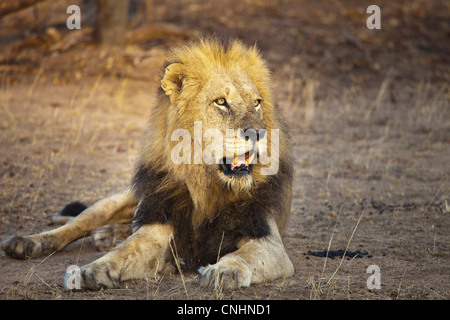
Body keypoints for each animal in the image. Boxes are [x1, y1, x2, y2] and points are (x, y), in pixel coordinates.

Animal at [2, 37, 296, 290]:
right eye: (221, 102)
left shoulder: (268, 240)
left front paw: (224, 270)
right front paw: (90, 271)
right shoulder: (156, 225)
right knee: (75, 224)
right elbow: (123, 250)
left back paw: (106, 234)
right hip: (118, 199)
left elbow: (243, 256)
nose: (259, 133)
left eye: (256, 103)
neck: (205, 188)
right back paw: (27, 242)